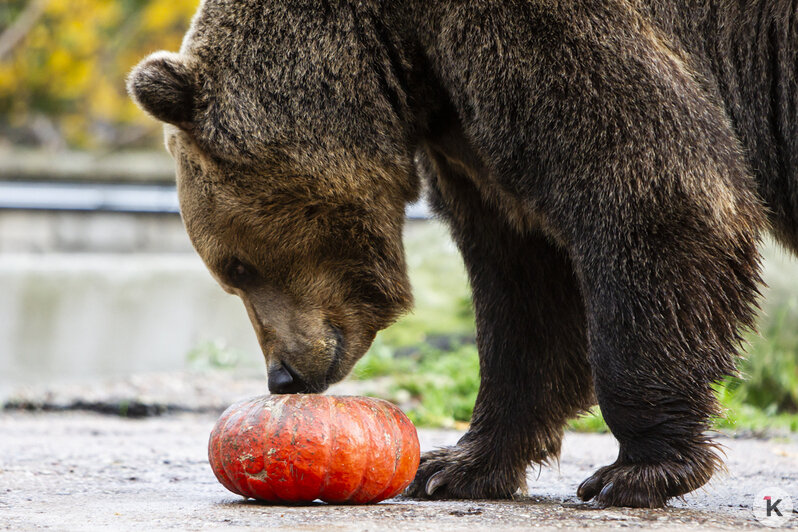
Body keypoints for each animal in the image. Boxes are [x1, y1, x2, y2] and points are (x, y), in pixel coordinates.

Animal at [128, 0, 796, 510]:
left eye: (236, 268)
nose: (283, 376)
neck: (396, 49)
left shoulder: (543, 34)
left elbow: (648, 191)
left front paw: (633, 473)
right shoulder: (466, 131)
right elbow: (522, 280)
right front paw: (454, 465)